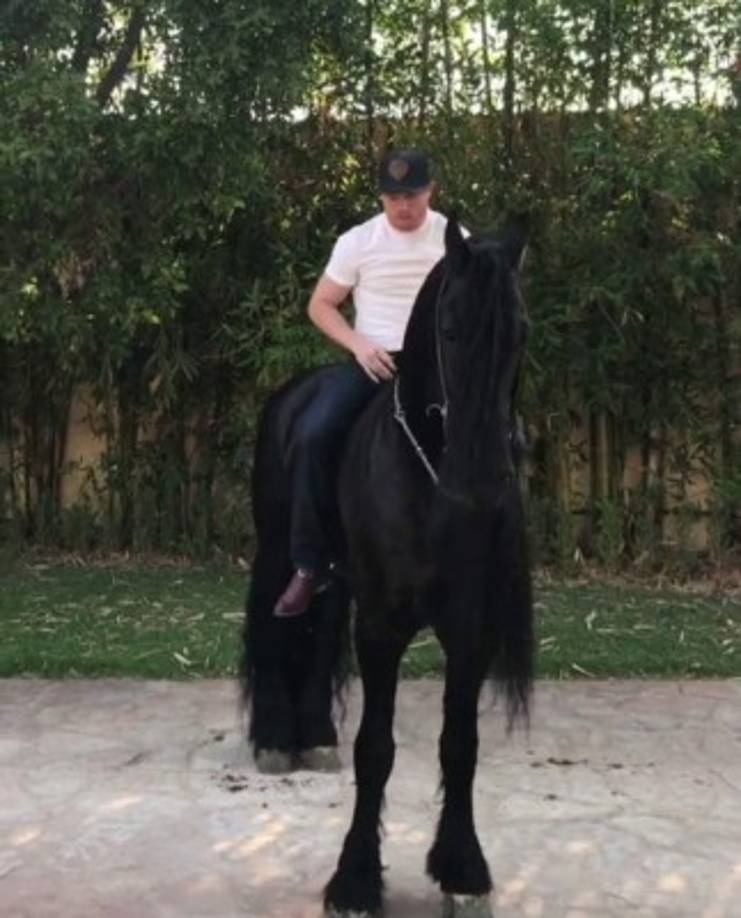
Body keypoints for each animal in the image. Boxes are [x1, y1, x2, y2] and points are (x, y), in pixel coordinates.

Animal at [242, 215, 534, 917]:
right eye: (450, 328)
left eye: (521, 332)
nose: (484, 480)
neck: (430, 482)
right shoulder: (381, 627)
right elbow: (375, 749)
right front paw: (354, 880)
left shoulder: (470, 630)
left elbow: (460, 746)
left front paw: (462, 871)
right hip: (276, 551)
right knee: (273, 624)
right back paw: (275, 737)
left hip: (338, 579)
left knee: (319, 628)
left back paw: (313, 733)